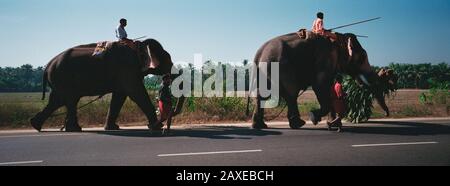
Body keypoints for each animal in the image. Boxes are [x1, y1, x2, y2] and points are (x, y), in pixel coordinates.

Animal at [29, 39, 182, 132]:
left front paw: (113, 128)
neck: (139, 45)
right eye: (168, 59)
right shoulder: (127, 69)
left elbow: (119, 96)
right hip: (63, 78)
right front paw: (155, 127)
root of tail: (47, 66)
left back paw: (36, 125)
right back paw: (74, 129)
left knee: (58, 101)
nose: (168, 77)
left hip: (59, 80)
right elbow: (136, 92)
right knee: (68, 100)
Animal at [250, 30, 390, 129]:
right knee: (291, 92)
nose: (386, 114)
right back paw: (299, 123)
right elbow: (320, 85)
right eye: (361, 58)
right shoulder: (325, 57)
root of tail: (259, 53)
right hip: (280, 65)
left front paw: (332, 123)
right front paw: (313, 118)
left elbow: (330, 89)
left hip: (264, 69)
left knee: (263, 94)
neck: (338, 38)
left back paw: (260, 126)